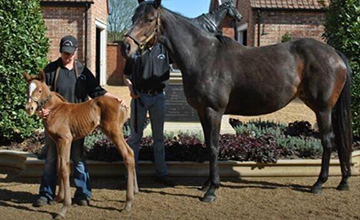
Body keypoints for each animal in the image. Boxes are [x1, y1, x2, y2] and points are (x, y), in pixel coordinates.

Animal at [22, 71, 138, 219]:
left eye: (40, 90)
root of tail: (121, 104)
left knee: (127, 155)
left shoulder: (65, 140)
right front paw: (58, 198)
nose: (29, 108)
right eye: (27, 89)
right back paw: (135, 192)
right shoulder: (57, 141)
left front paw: (64, 208)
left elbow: (64, 169)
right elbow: (59, 166)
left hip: (114, 132)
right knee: (132, 152)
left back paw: (128, 203)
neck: (55, 110)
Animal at [122, 0, 352, 203]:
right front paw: (207, 184)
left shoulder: (213, 111)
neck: (203, 56)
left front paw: (212, 190)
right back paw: (343, 181)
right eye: (133, 18)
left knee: (328, 142)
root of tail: (334, 53)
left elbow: (214, 147)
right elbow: (208, 145)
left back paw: (319, 184)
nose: (126, 46)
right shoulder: (202, 111)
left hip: (322, 109)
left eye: (150, 19)